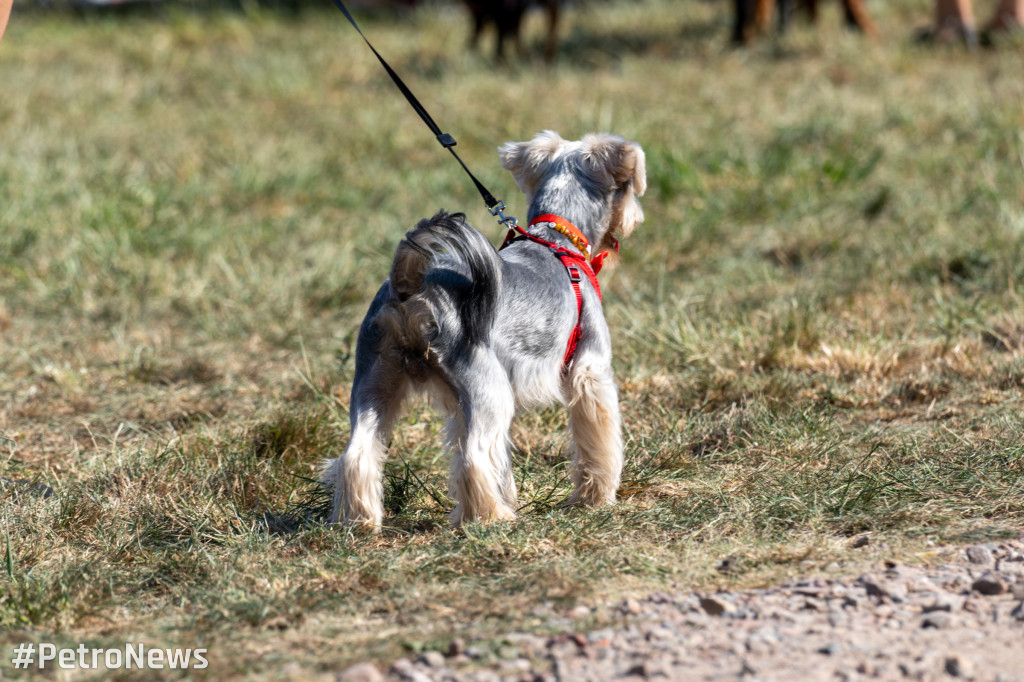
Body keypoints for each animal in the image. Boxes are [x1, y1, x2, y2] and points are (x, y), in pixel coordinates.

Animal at [319, 130, 647, 528]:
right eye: (628, 187)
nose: (635, 218)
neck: (557, 241)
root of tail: (410, 284)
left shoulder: (461, 403)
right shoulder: (590, 371)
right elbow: (597, 441)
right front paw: (594, 499)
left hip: (375, 379)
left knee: (359, 453)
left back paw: (358, 522)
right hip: (488, 385)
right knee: (474, 457)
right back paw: (491, 518)